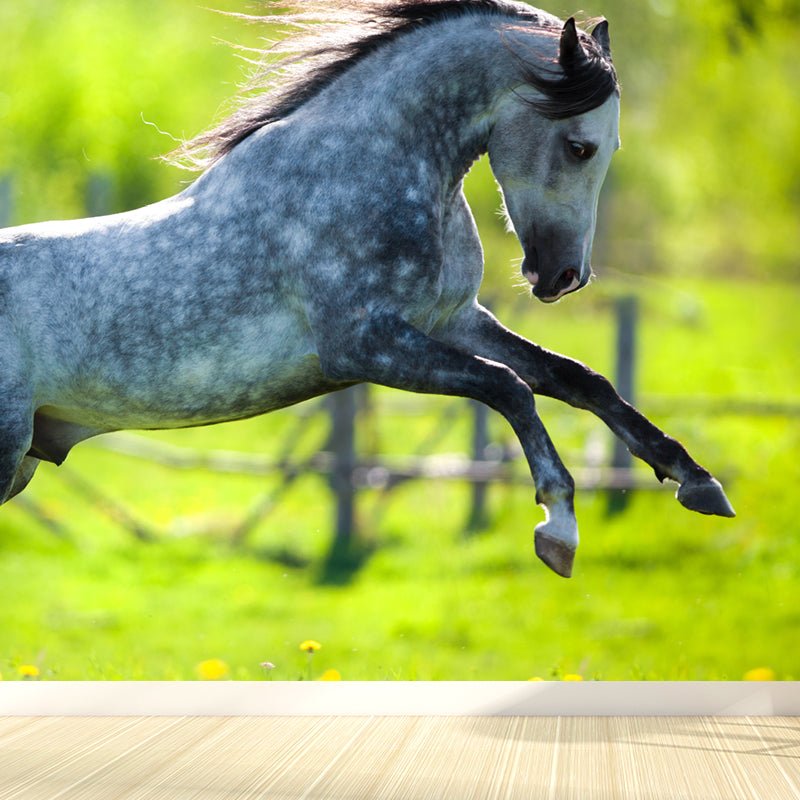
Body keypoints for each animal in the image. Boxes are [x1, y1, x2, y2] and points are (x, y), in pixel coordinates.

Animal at [0, 0, 734, 578]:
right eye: (580, 146)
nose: (561, 278)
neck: (365, 170)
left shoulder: (453, 321)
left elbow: (579, 379)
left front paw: (697, 481)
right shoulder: (363, 345)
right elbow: (509, 387)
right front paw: (558, 528)